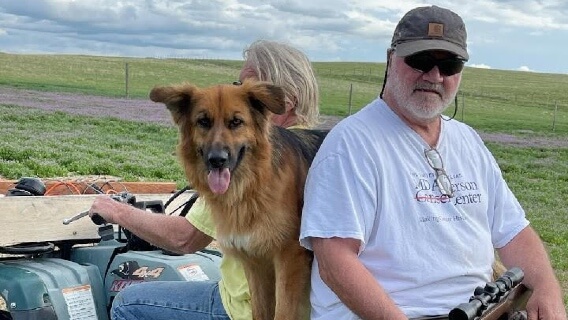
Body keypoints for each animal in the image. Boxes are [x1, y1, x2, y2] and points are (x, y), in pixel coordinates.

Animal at [150, 79, 328, 318]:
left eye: (236, 122)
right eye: (203, 121)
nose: (217, 160)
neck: (253, 185)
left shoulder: (290, 260)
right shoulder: (255, 261)